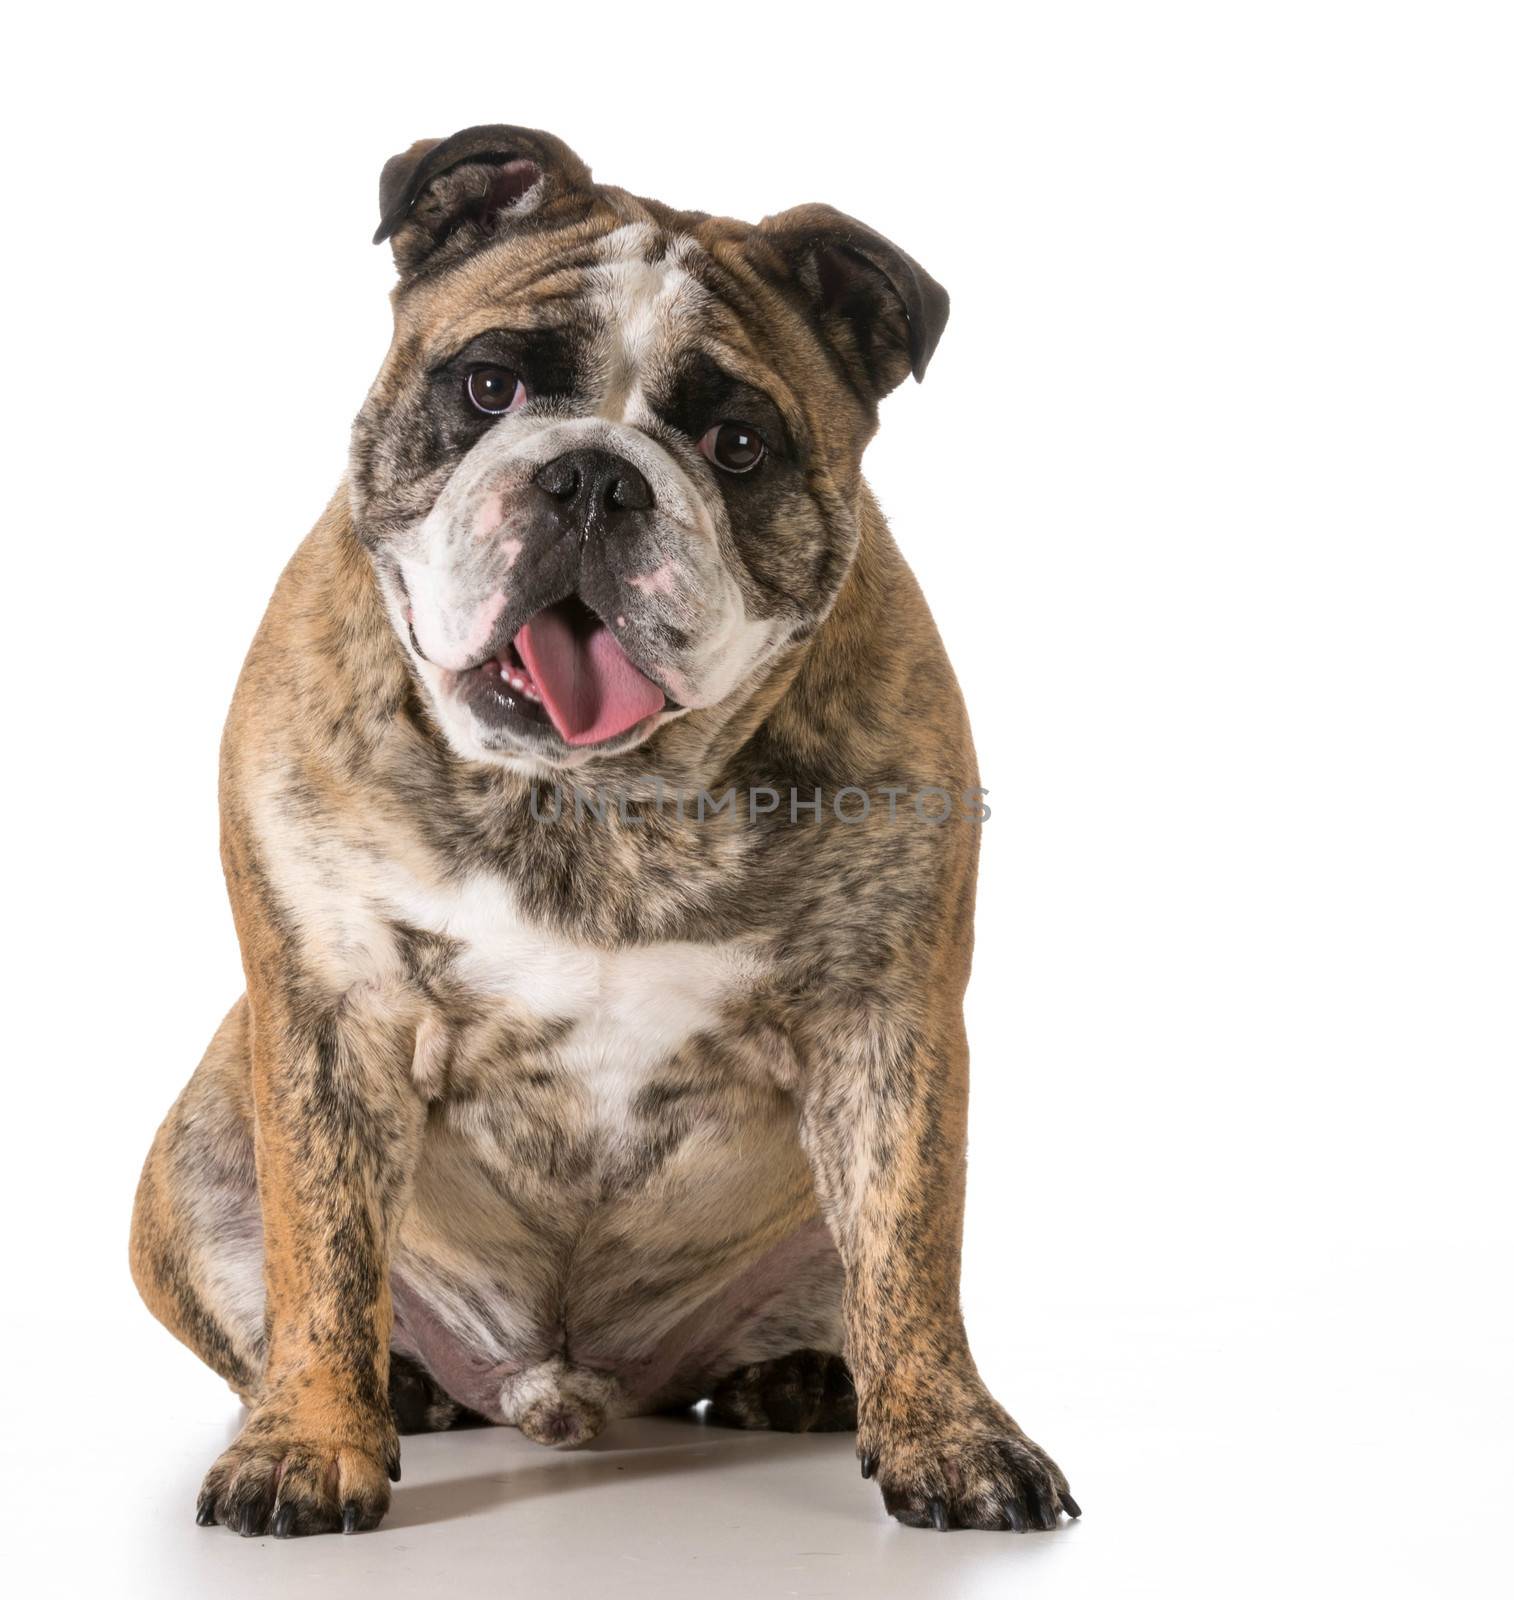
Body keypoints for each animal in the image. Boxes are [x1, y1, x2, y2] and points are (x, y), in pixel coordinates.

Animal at [129, 121, 1075, 1536]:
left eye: (736, 443)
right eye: (488, 386)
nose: (590, 476)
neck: (592, 793)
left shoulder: (883, 1023)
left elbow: (909, 1252)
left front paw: (952, 1437)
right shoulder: (334, 1017)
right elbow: (321, 1257)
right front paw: (308, 1442)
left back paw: (802, 1378)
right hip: (194, 1155)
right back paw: (400, 1390)